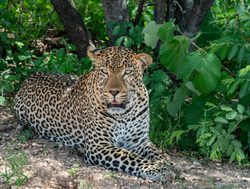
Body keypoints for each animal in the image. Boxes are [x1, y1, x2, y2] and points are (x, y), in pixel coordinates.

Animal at [13, 46, 179, 183]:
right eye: (105, 72)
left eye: (127, 73)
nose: (113, 92)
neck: (125, 114)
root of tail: (31, 76)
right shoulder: (99, 145)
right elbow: (132, 158)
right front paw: (160, 170)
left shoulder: (138, 141)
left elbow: (158, 153)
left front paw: (171, 164)